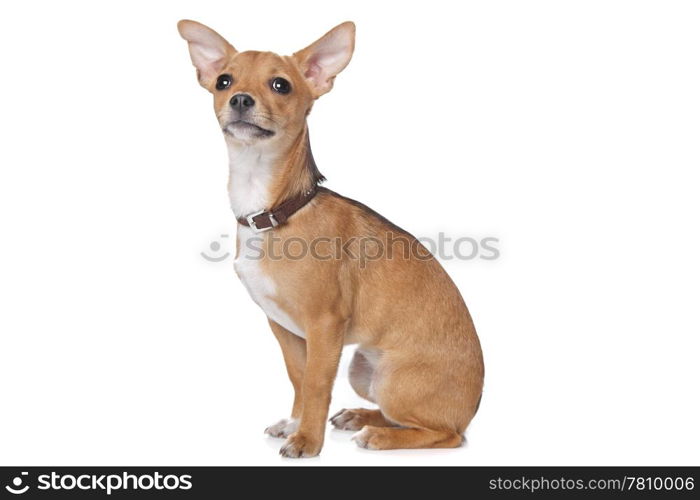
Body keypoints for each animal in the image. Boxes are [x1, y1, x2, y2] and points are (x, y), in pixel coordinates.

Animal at [178, 20, 484, 458]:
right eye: (224, 81)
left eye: (281, 85)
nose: (239, 99)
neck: (276, 210)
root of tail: (473, 407)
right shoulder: (285, 328)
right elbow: (299, 377)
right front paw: (296, 422)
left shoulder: (325, 326)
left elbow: (318, 384)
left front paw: (307, 439)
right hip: (362, 370)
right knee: (409, 419)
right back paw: (359, 416)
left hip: (392, 378)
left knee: (445, 434)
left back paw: (380, 436)